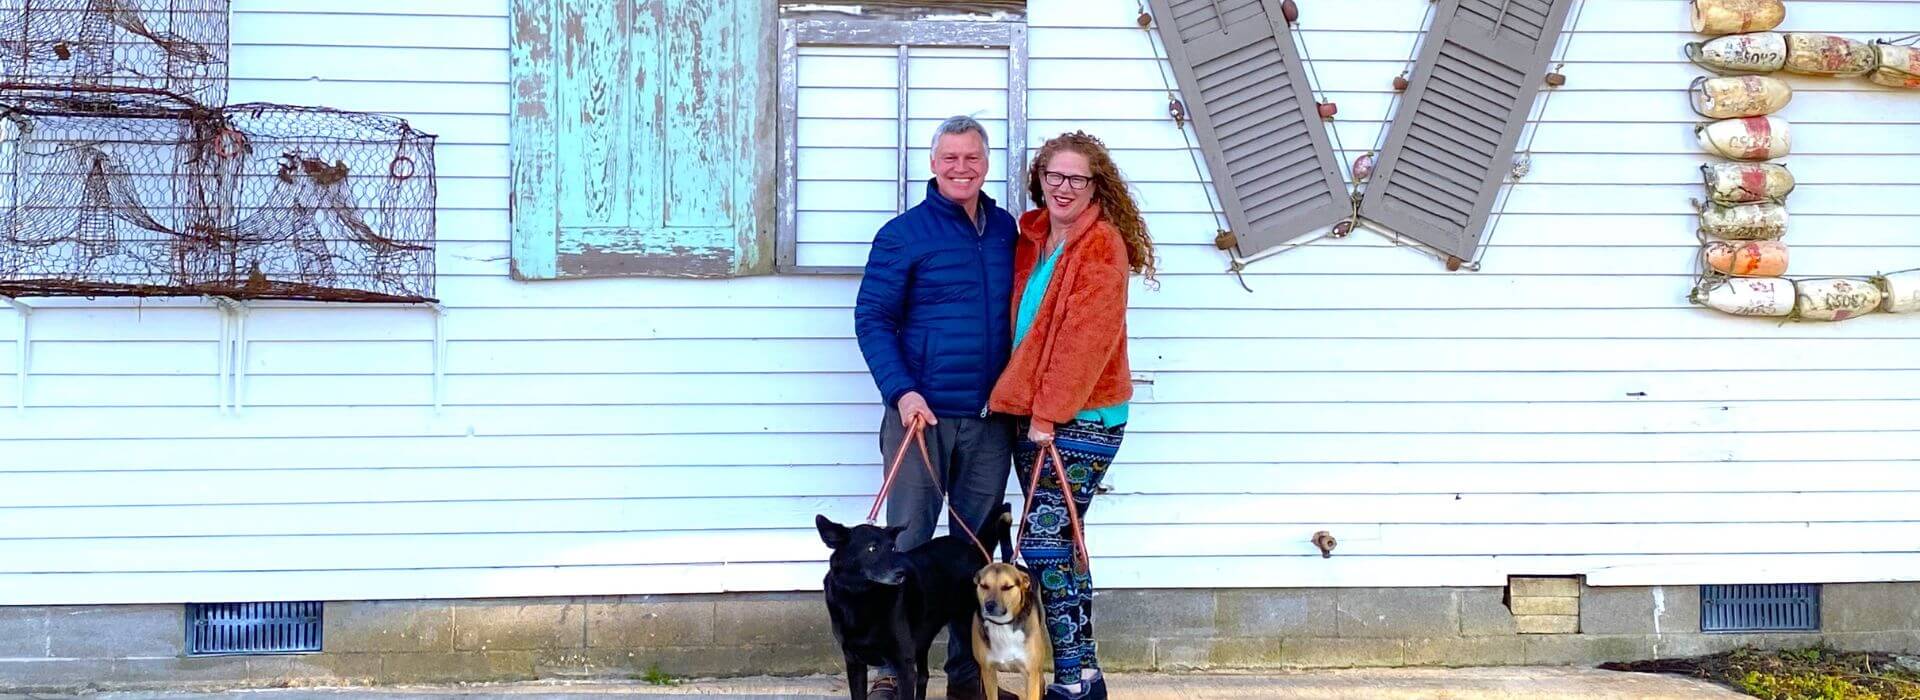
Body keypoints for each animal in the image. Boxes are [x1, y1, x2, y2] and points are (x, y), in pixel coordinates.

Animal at [817, 502, 1013, 698]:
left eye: (893, 548)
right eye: (872, 548)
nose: (901, 573)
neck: (860, 596)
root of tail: (973, 548)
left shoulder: (903, 664)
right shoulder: (854, 662)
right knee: (924, 676)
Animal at [975, 560, 1052, 698]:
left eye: (1007, 587)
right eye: (984, 586)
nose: (989, 605)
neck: (1002, 625)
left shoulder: (1031, 673)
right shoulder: (987, 671)